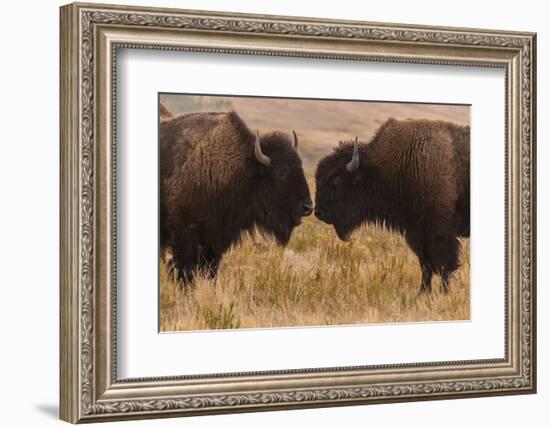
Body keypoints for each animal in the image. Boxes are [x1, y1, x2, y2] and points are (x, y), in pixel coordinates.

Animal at [161, 108, 314, 286]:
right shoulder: (185, 235)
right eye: (280, 173)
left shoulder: (215, 241)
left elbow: (210, 269)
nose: (308, 207)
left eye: (300, 167)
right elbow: (185, 269)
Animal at [314, 118, 470, 296]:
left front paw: (443, 293)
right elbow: (425, 265)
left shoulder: (439, 233)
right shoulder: (416, 233)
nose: (318, 212)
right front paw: (422, 293)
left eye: (335, 181)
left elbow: (444, 265)